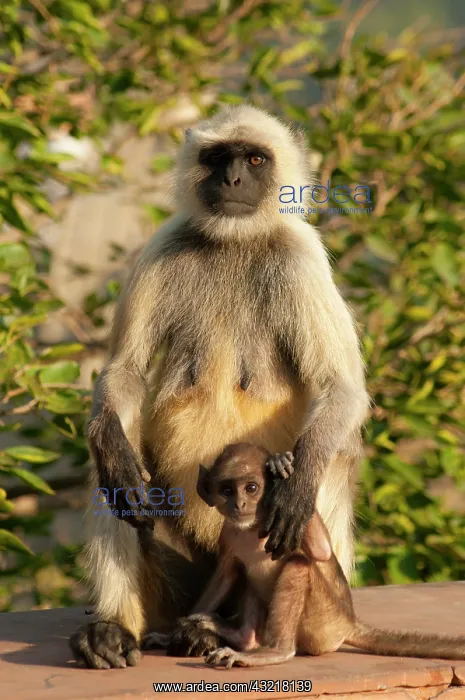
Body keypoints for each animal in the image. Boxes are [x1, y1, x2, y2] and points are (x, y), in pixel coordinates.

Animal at [70, 104, 369, 670]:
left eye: (253, 159)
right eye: (217, 158)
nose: (231, 179)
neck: (235, 241)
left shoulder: (301, 256)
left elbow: (341, 389)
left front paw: (296, 486)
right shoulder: (166, 243)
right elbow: (125, 372)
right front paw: (112, 444)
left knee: (334, 451)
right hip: (177, 584)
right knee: (111, 471)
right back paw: (117, 630)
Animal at [143, 443, 465, 668]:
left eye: (251, 487)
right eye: (226, 490)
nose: (239, 504)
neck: (253, 528)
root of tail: (349, 620)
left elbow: (320, 551)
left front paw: (280, 465)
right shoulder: (230, 534)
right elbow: (227, 571)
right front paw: (175, 632)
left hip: (324, 625)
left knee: (299, 565)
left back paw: (275, 652)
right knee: (251, 572)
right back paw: (244, 638)